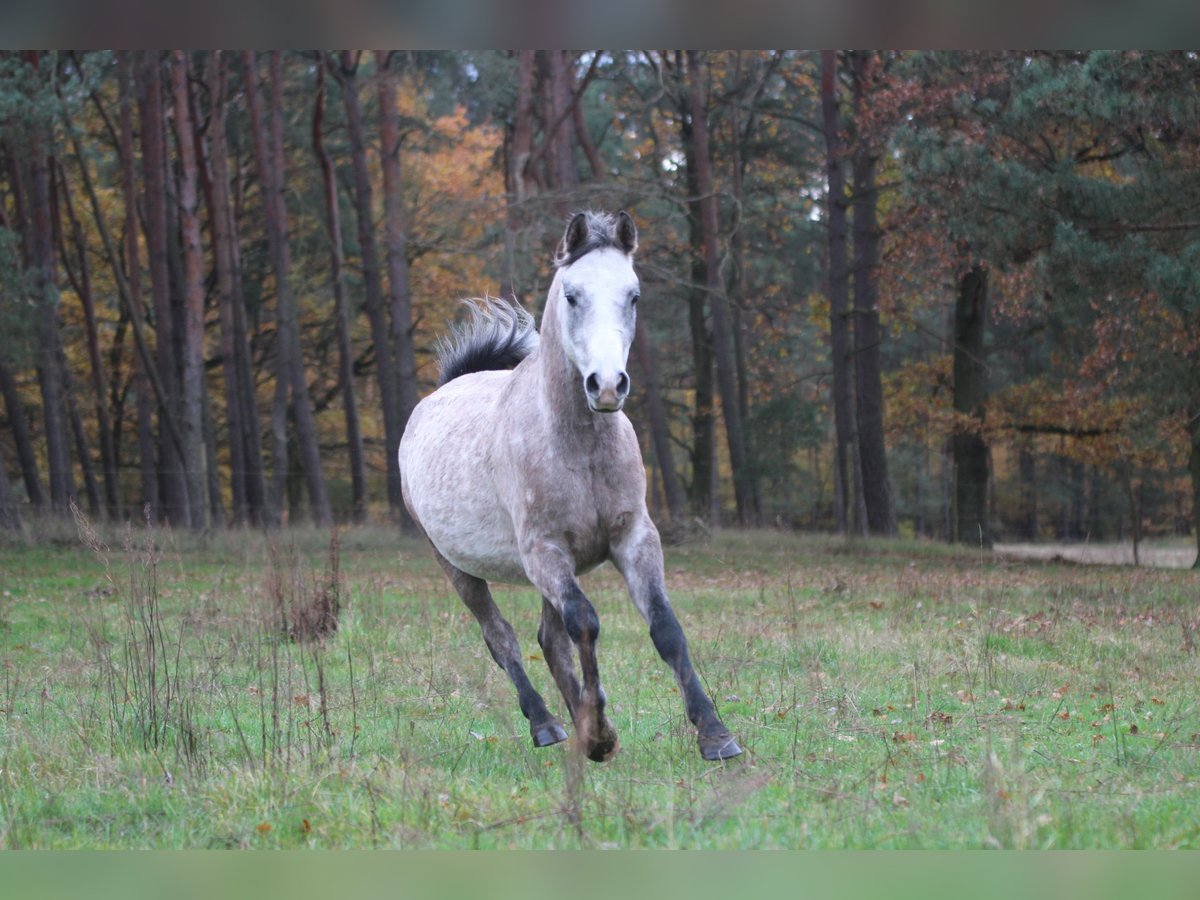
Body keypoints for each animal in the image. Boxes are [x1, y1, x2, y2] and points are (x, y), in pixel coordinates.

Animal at [400, 211, 739, 763]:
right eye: (572, 295)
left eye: (634, 295)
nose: (608, 385)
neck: (579, 449)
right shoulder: (546, 551)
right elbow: (585, 625)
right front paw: (600, 735)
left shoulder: (633, 539)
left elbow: (664, 629)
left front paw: (715, 734)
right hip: (459, 566)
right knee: (502, 638)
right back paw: (548, 725)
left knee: (549, 639)